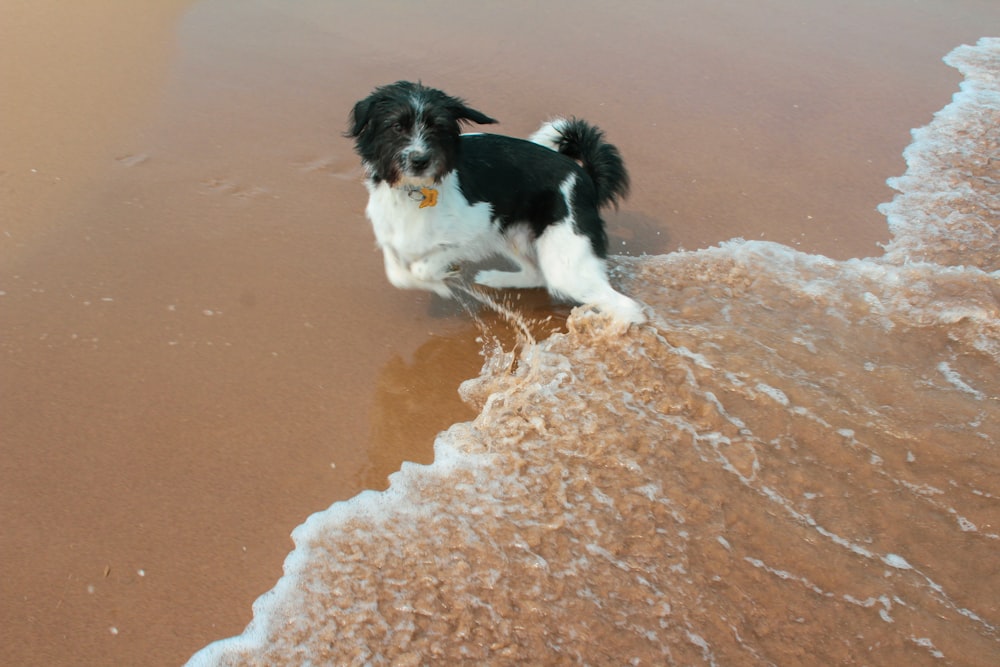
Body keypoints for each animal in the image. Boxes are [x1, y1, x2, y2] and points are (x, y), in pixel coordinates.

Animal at [348, 81, 644, 326]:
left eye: (438, 126)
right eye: (397, 126)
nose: (420, 160)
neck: (416, 191)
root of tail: (586, 179)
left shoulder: (476, 230)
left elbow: (424, 266)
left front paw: (441, 282)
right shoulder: (390, 237)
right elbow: (397, 273)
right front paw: (439, 282)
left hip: (565, 262)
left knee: (629, 307)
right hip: (512, 237)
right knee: (536, 275)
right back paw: (495, 278)